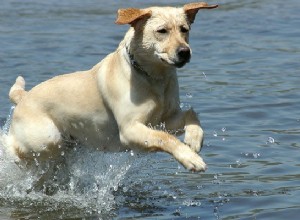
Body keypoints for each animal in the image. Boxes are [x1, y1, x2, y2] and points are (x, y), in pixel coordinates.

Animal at [4, 2, 218, 173]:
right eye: (162, 31)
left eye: (184, 29)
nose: (185, 52)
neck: (154, 78)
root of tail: (23, 96)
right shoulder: (130, 129)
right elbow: (165, 139)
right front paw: (191, 159)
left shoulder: (164, 120)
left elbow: (191, 114)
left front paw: (193, 140)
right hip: (46, 138)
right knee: (13, 146)